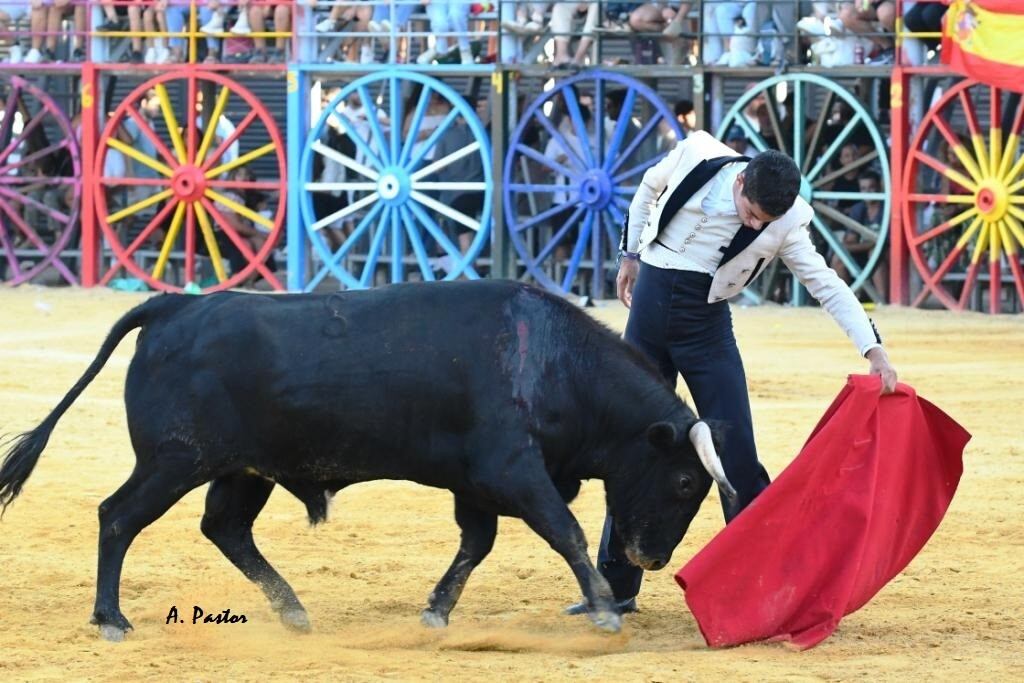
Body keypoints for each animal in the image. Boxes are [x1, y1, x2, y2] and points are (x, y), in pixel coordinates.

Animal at [0, 278, 737, 643]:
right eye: (682, 480)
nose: (651, 559)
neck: (555, 361)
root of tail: (174, 306)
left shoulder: (477, 483)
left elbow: (477, 544)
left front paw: (437, 611)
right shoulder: (513, 470)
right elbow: (566, 531)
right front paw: (606, 608)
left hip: (242, 470)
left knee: (225, 529)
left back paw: (293, 612)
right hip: (174, 461)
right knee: (118, 516)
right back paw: (111, 619)